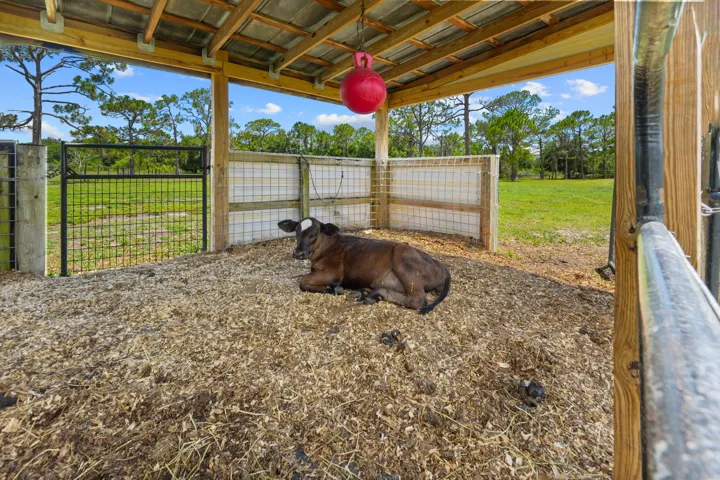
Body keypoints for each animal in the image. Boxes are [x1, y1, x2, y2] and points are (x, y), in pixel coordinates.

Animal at [278, 217, 451, 314]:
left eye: (314, 234)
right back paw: (366, 293)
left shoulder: (333, 273)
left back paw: (373, 294)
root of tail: (441, 266)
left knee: (418, 299)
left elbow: (303, 282)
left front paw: (333, 289)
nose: (298, 253)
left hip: (403, 259)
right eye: (296, 232)